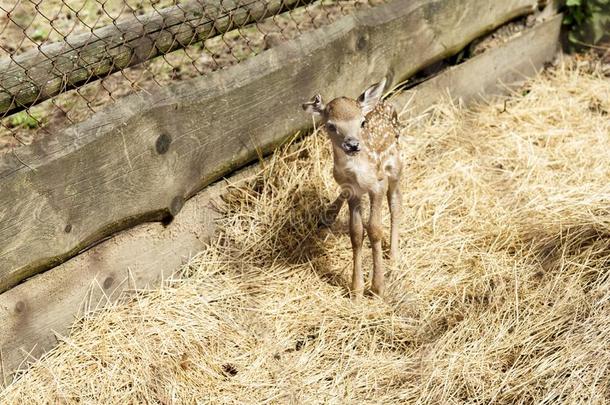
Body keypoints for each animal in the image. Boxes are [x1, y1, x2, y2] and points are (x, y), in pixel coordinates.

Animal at [302, 79, 402, 298]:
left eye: (362, 122)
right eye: (330, 125)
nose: (353, 145)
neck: (357, 173)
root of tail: (385, 102)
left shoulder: (378, 184)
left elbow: (374, 229)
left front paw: (377, 288)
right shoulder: (352, 191)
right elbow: (356, 233)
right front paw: (356, 290)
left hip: (397, 166)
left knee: (396, 203)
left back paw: (394, 256)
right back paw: (328, 214)